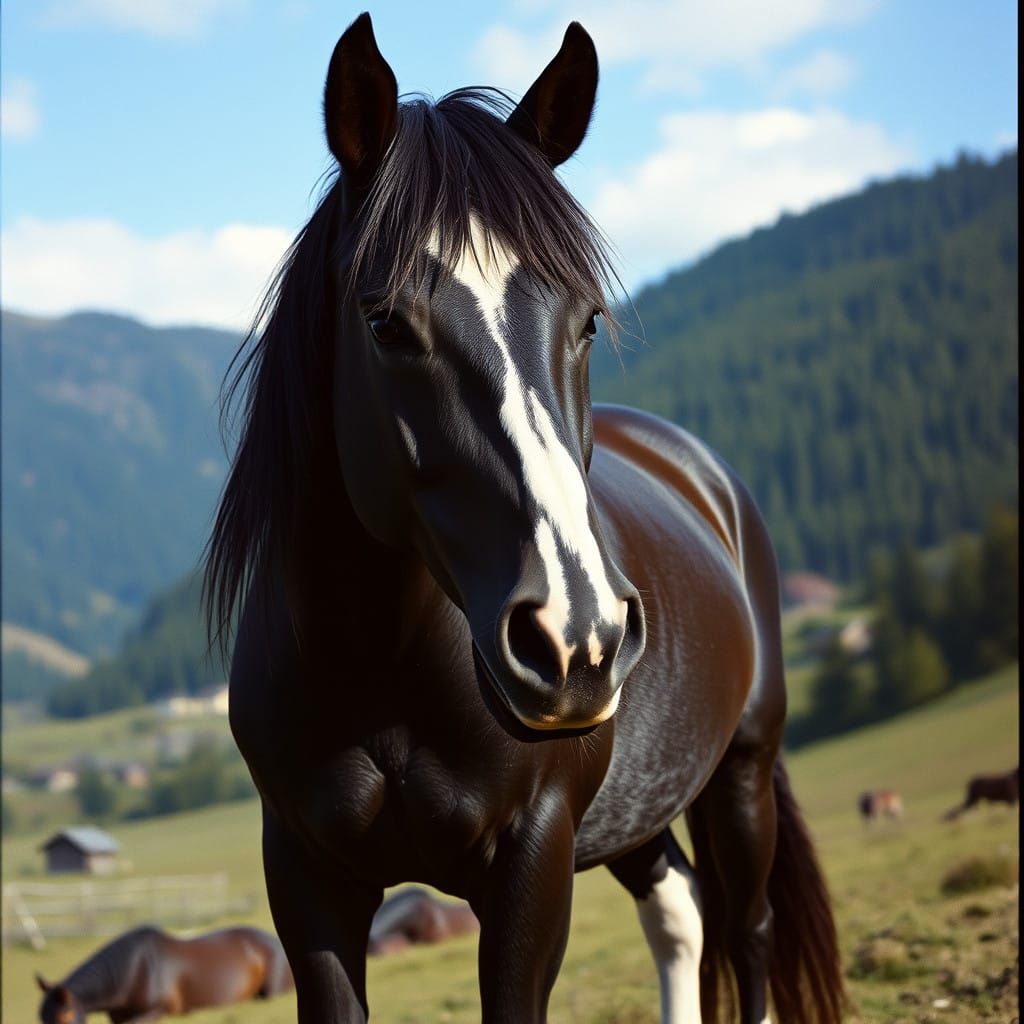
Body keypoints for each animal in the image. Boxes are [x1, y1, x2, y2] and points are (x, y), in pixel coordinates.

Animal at [204, 13, 845, 1023]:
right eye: (384, 324)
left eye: (587, 322)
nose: (574, 640)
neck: (383, 667)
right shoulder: (306, 876)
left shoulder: (533, 861)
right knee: (681, 912)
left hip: (742, 773)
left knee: (747, 936)